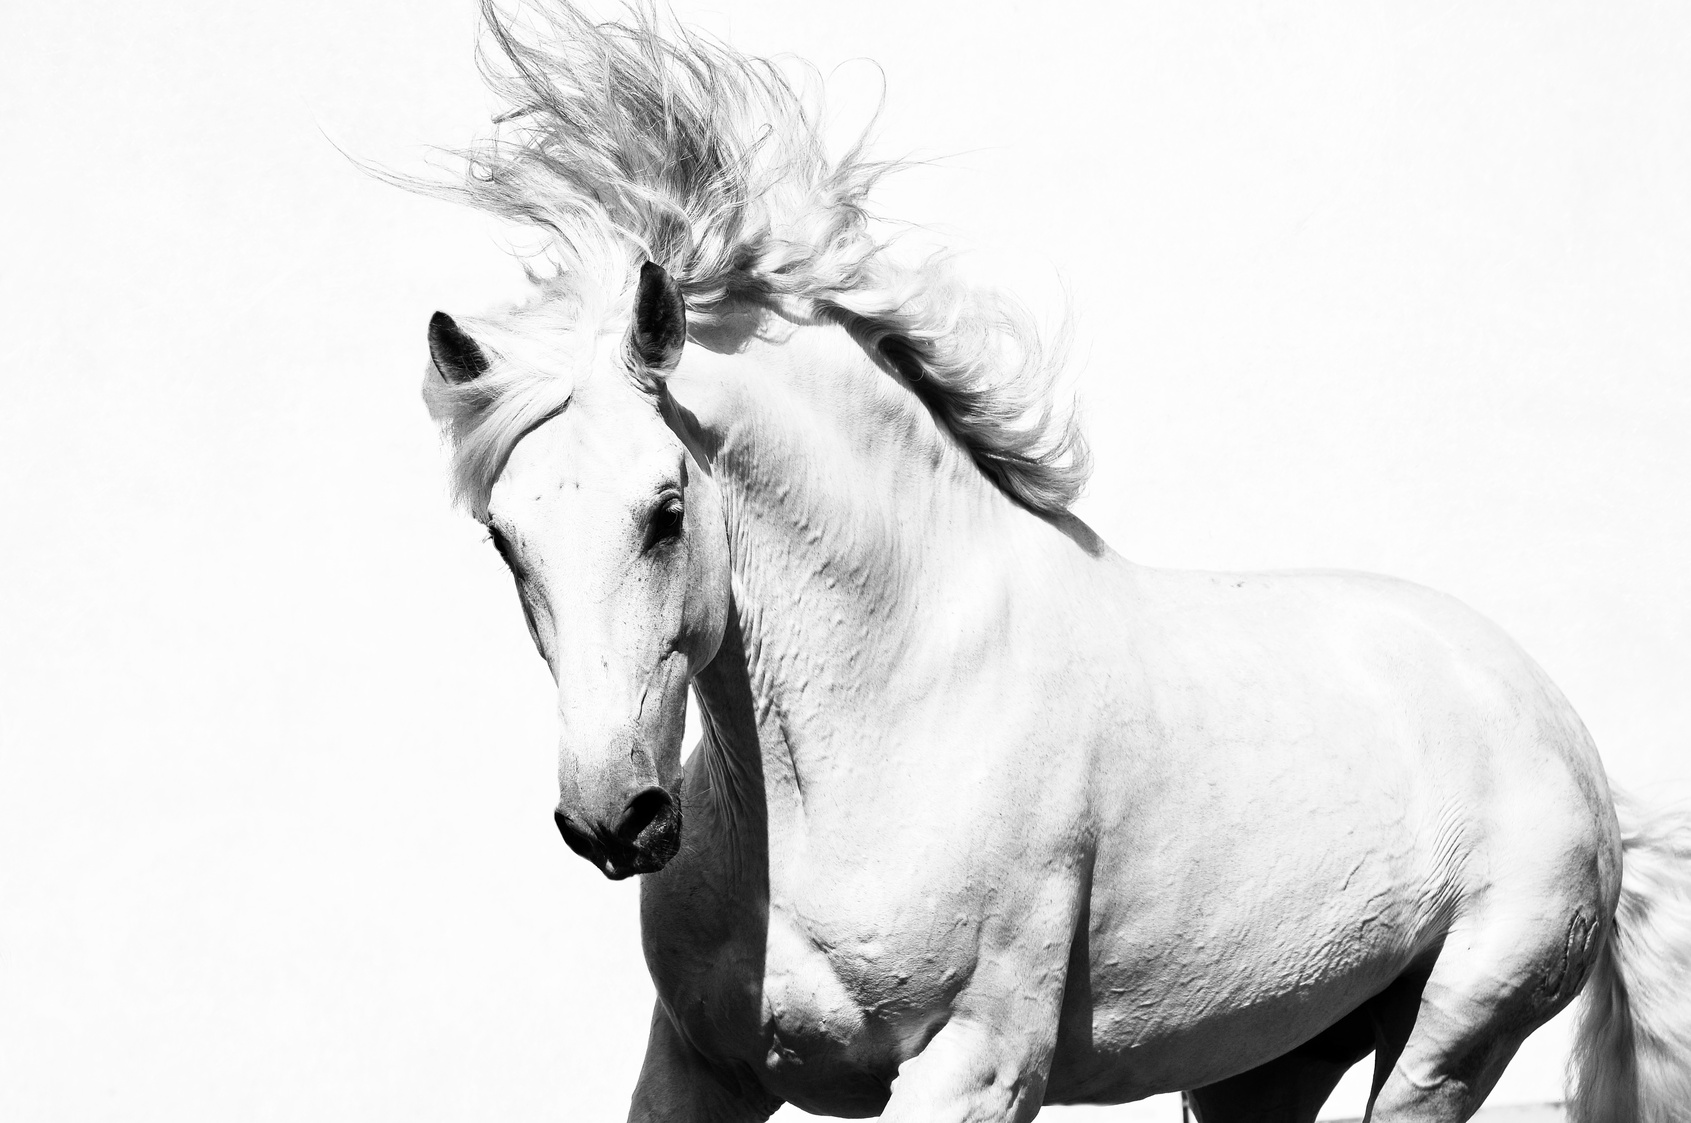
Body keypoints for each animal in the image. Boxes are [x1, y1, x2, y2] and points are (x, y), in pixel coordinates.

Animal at [409, 4, 1691, 1116]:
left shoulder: (971, 1066)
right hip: (1260, 1063)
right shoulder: (700, 1067)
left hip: (1449, 1037)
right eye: (504, 537)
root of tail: (1555, 724)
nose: (612, 818)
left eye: (666, 510)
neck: (885, 714)